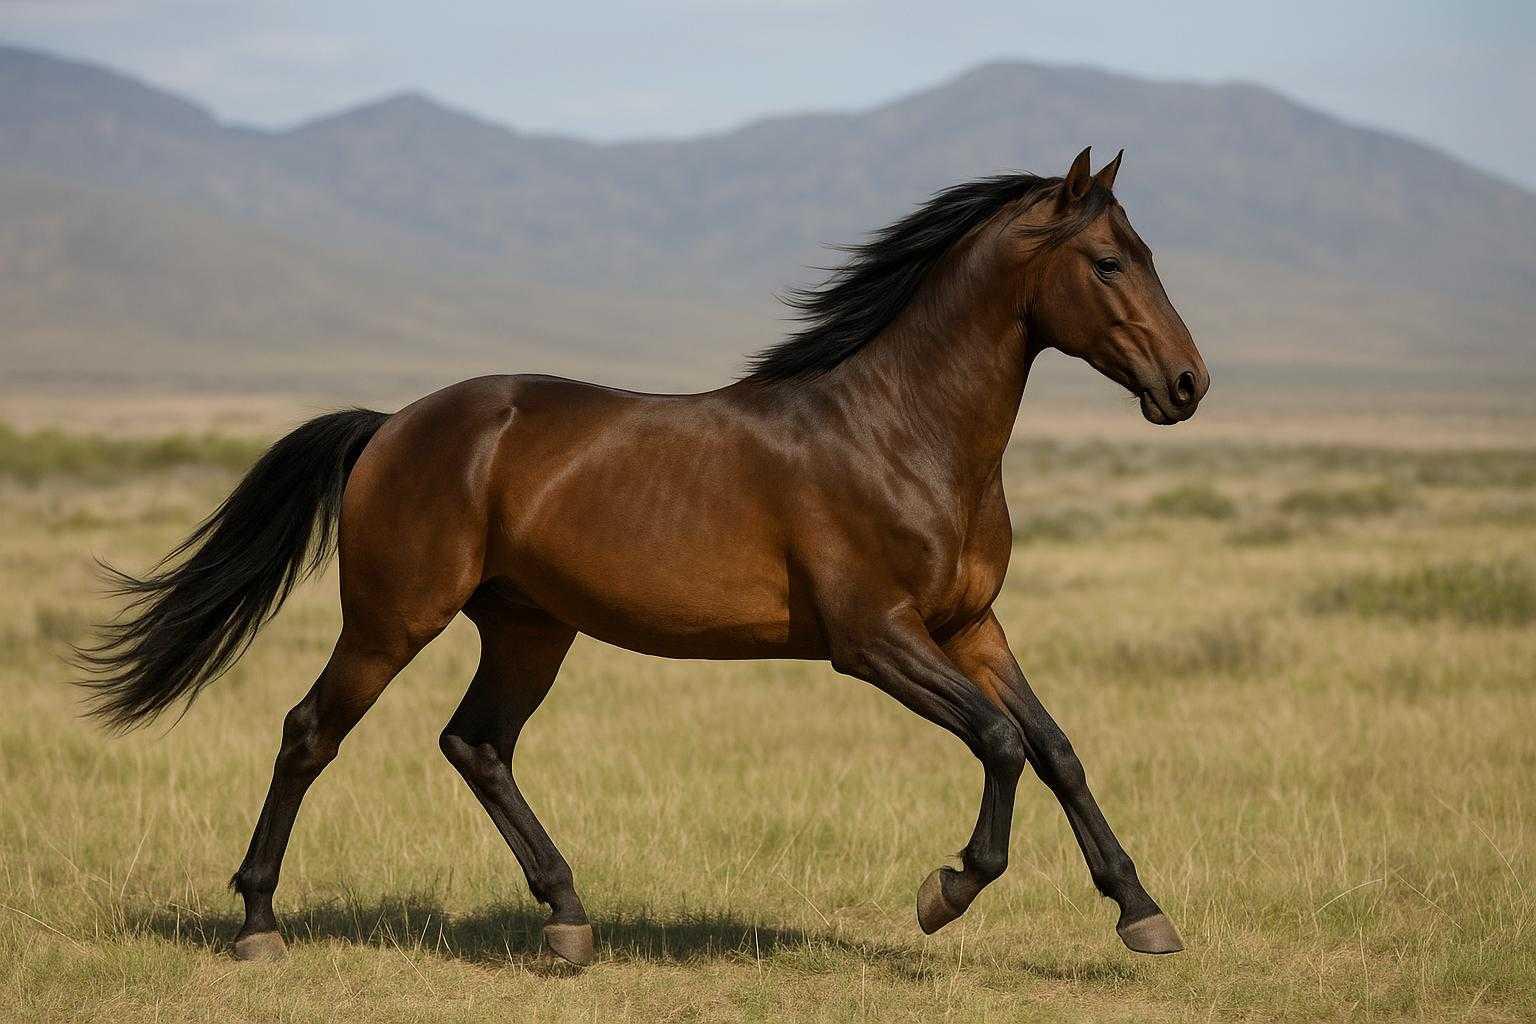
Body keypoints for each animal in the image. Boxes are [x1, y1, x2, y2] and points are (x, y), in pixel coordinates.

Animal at [79, 147, 1209, 968]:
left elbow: (1055, 747)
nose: (1189, 384)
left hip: (530, 628)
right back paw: (258, 926)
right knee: (310, 733)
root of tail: (394, 424)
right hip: (392, 619)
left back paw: (568, 921)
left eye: (1150, 250)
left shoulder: (970, 627)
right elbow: (1001, 742)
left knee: (475, 744)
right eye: (1109, 261)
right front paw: (946, 891)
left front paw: (1142, 914)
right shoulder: (874, 639)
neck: (900, 432)